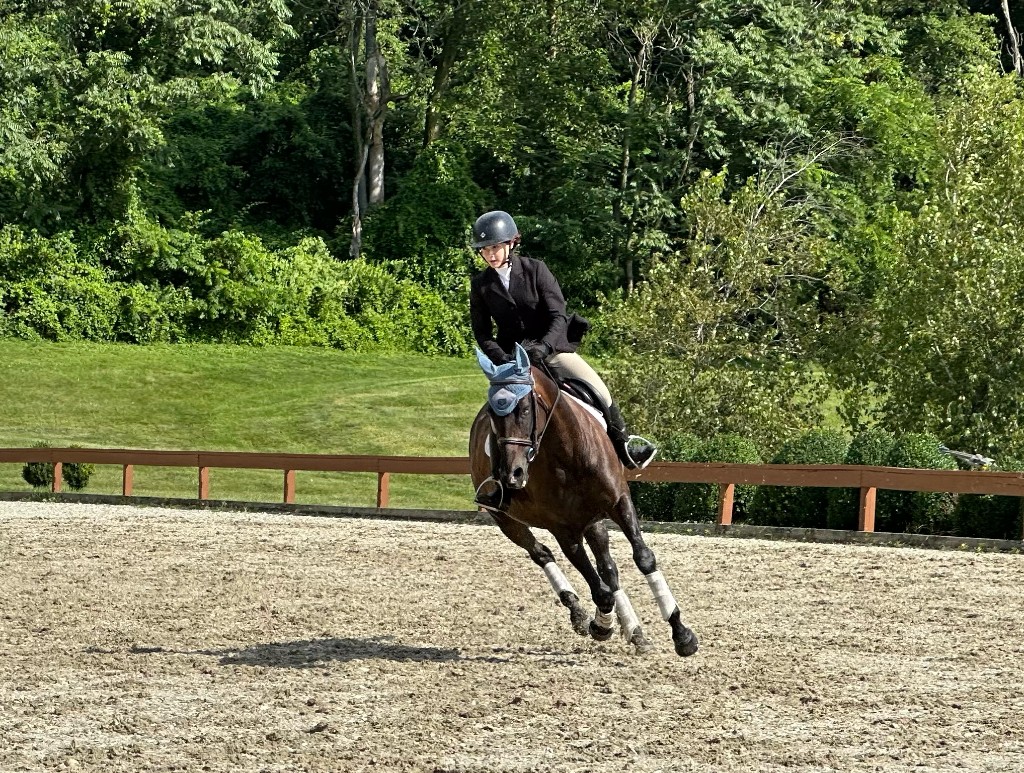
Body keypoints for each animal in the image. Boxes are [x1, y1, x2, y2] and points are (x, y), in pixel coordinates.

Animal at [469, 343, 699, 657]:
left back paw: (635, 632)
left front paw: (681, 634)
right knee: (543, 554)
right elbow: (600, 592)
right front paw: (601, 625)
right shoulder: (564, 529)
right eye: (494, 416)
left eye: (525, 409)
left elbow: (642, 558)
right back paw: (581, 613)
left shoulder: (618, 503)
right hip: (508, 520)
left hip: (593, 519)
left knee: (608, 569)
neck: (567, 452)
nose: (511, 474)